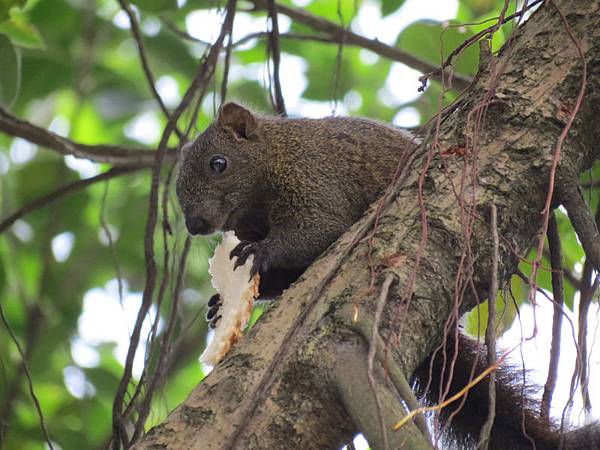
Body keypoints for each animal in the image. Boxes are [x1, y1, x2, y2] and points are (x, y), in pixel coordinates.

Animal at [176, 103, 596, 450]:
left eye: (218, 164)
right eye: (177, 188)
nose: (195, 225)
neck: (274, 156)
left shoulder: (315, 176)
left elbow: (317, 229)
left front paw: (259, 253)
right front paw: (219, 303)